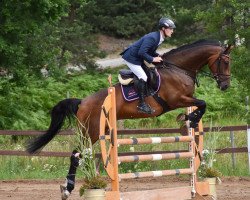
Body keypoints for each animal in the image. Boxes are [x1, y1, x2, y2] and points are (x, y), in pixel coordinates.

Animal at [26, 39, 233, 155]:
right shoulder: (177, 99)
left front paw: (186, 120)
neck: (178, 69)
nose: (225, 86)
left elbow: (200, 105)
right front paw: (188, 119)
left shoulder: (187, 97)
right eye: (225, 61)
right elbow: (202, 104)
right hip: (90, 131)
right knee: (78, 152)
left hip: (100, 130)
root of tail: (82, 102)